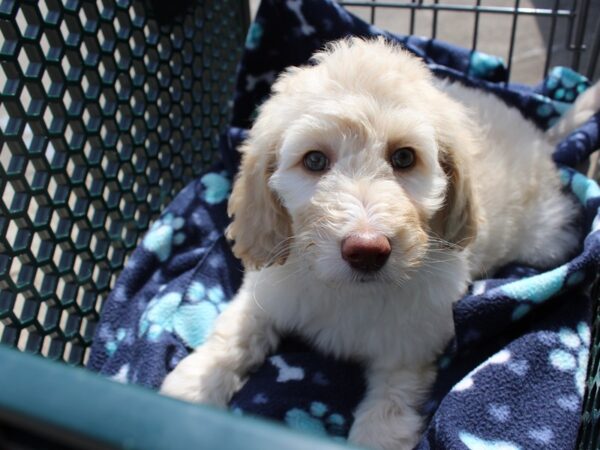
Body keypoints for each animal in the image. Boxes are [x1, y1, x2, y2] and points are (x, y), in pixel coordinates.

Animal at [162, 39, 580, 450]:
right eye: (314, 160)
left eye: (405, 157)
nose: (366, 250)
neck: (349, 291)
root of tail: (540, 139)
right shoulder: (268, 291)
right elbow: (235, 333)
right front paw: (193, 387)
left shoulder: (410, 342)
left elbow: (391, 402)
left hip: (544, 239)